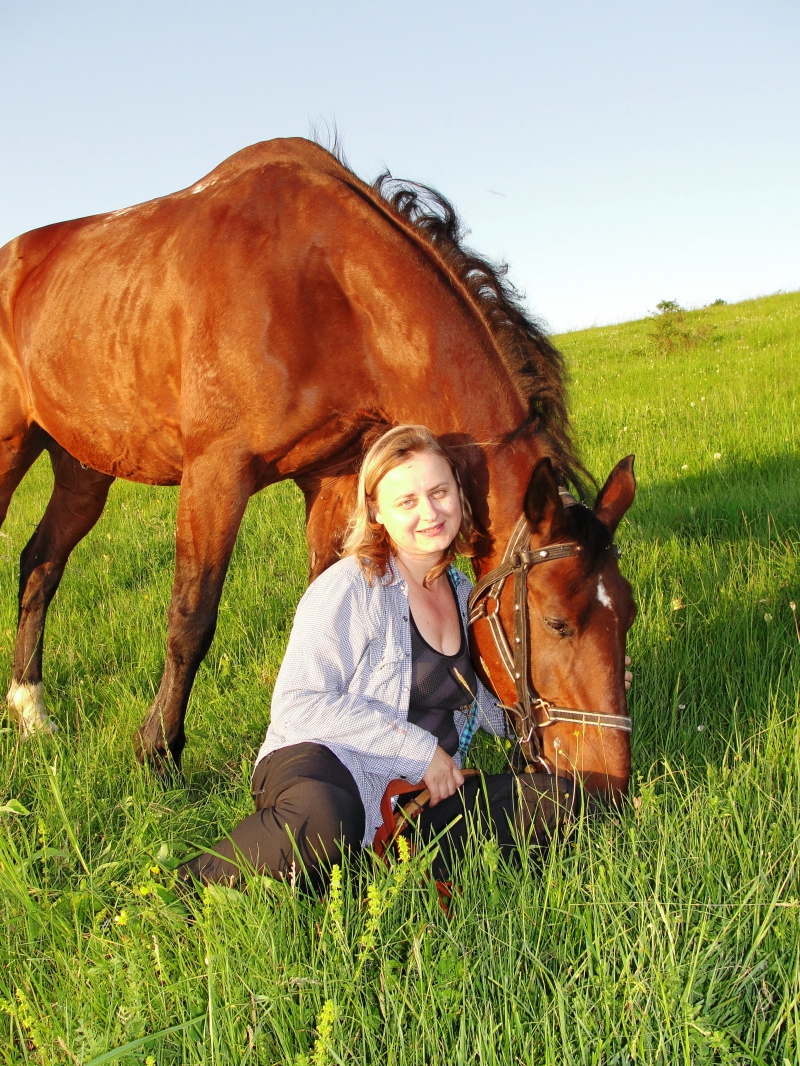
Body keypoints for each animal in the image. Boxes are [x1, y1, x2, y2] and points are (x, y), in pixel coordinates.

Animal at [0, 137, 640, 797]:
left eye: (629, 613)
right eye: (557, 623)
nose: (609, 783)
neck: (327, 286)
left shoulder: (332, 479)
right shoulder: (216, 473)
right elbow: (191, 619)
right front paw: (157, 754)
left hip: (84, 469)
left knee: (40, 562)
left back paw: (31, 711)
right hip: (11, 447)